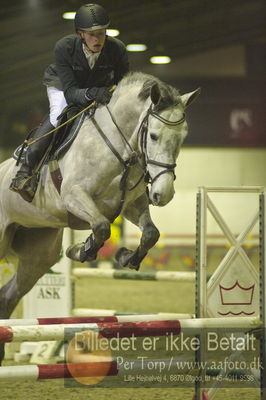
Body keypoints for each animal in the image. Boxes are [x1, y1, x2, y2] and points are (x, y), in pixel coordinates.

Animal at [0, 71, 200, 360]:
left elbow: (150, 234)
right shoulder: (74, 195)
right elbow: (102, 227)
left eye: (183, 137)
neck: (119, 147)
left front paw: (126, 257)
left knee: (8, 295)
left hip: (39, 254)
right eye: (153, 136)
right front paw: (80, 250)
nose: (164, 195)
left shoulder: (132, 204)